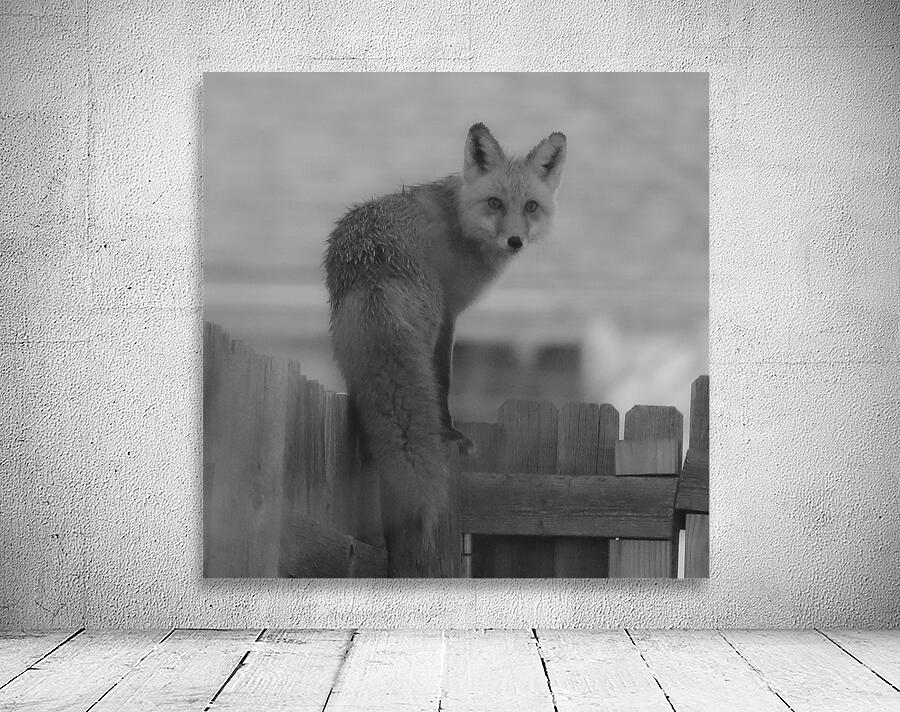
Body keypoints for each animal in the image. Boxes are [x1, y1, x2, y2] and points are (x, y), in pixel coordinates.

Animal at [323, 123, 566, 575]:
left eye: (531, 206)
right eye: (494, 203)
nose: (515, 241)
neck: (461, 225)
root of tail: (373, 263)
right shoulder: (451, 313)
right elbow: (443, 380)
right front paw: (452, 432)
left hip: (346, 338)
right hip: (427, 319)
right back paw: (443, 435)